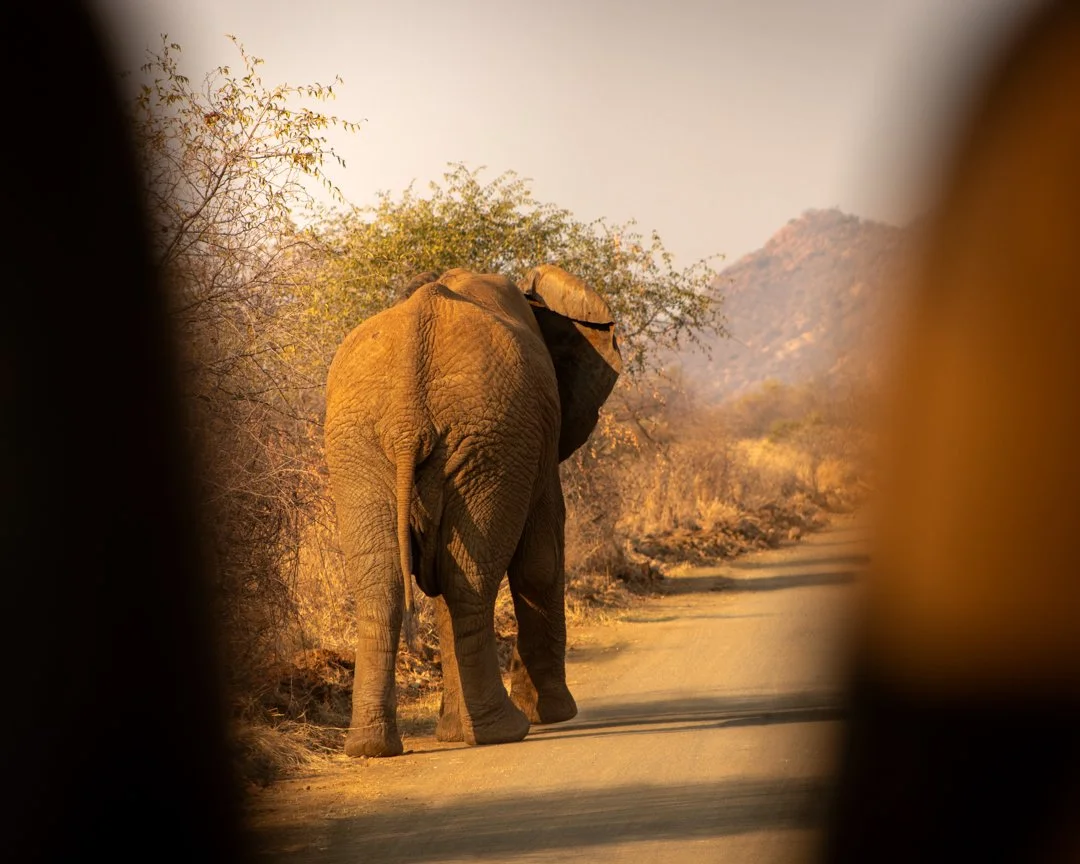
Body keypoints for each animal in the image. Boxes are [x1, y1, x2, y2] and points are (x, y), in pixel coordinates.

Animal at [324, 264, 623, 757]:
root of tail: (406, 421)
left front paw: (453, 731)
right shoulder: (537, 446)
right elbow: (541, 558)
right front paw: (554, 715)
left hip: (368, 445)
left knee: (388, 584)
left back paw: (372, 747)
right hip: (487, 444)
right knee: (469, 580)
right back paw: (505, 730)